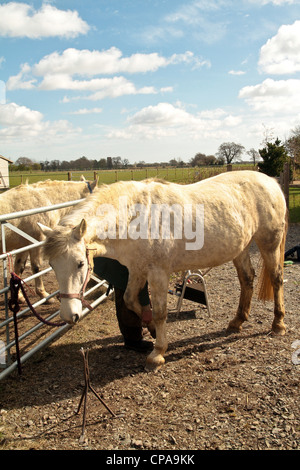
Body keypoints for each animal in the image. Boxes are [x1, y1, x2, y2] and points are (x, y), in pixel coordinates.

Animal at [38, 171, 288, 370]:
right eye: (52, 265)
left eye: (80, 263)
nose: (68, 316)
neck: (134, 218)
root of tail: (271, 182)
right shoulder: (137, 270)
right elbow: (131, 301)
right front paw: (150, 327)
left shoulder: (158, 274)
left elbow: (160, 312)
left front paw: (157, 353)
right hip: (242, 249)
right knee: (247, 279)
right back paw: (237, 322)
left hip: (269, 244)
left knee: (276, 279)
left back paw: (278, 324)